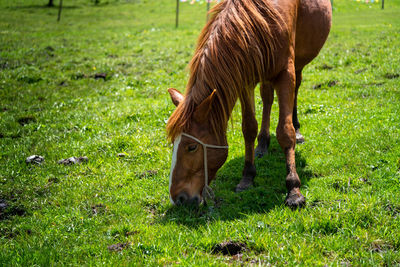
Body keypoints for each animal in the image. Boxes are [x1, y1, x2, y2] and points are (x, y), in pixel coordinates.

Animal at [166, 0, 332, 208]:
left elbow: (285, 132)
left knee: (295, 90)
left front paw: (294, 189)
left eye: (191, 147)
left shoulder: (286, 73)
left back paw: (297, 129)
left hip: (298, 64)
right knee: (267, 98)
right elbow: (249, 128)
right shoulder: (245, 77)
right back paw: (262, 144)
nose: (177, 198)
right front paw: (247, 177)